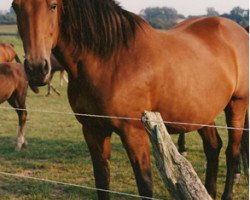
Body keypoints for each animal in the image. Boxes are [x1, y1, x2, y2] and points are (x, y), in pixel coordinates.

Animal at [13, 0, 248, 199]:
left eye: (53, 6)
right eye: (16, 6)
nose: (36, 68)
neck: (111, 61)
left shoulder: (134, 132)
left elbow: (145, 185)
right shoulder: (93, 130)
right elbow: (102, 182)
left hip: (237, 104)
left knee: (232, 152)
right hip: (201, 113)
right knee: (213, 147)